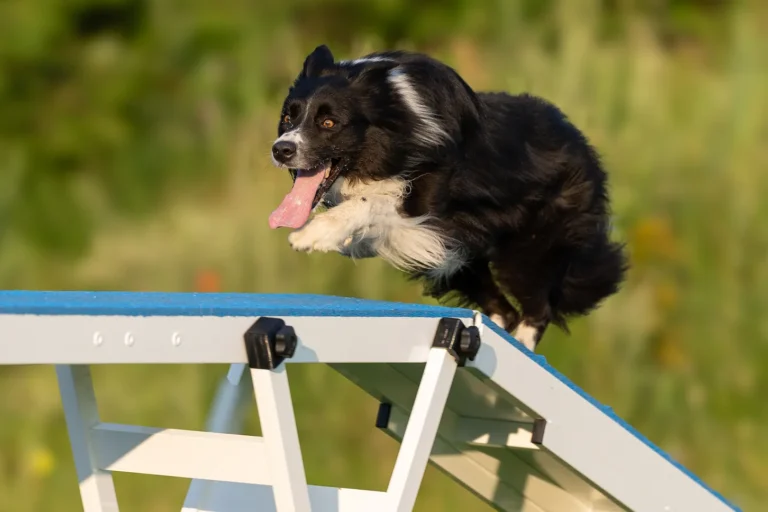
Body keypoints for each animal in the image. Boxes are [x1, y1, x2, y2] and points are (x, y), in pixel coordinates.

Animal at [268, 46, 628, 350]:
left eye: (329, 122)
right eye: (288, 117)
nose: (281, 150)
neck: (398, 126)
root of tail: (582, 144)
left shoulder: (433, 217)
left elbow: (374, 203)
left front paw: (315, 234)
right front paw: (343, 238)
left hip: (531, 247)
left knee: (537, 308)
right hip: (468, 264)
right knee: (503, 310)